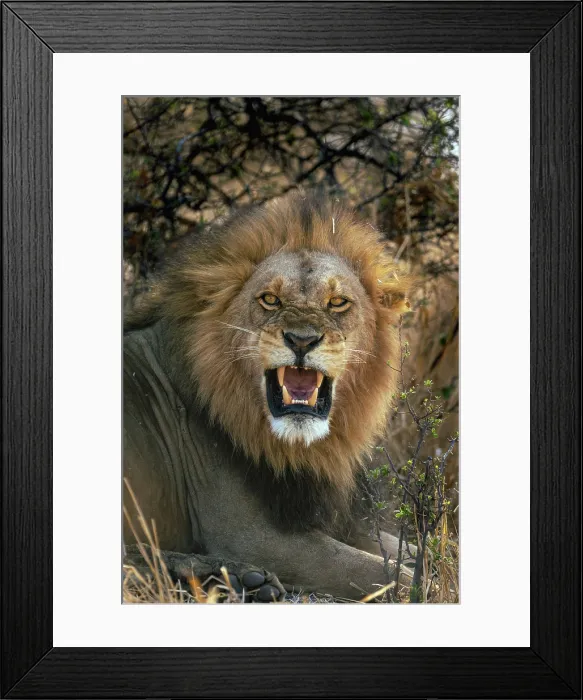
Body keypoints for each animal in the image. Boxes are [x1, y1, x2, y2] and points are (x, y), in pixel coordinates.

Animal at [123, 191, 412, 601]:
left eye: (337, 302)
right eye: (270, 300)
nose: (302, 340)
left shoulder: (335, 519)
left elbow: (417, 551)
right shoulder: (254, 537)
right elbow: (394, 574)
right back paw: (237, 578)